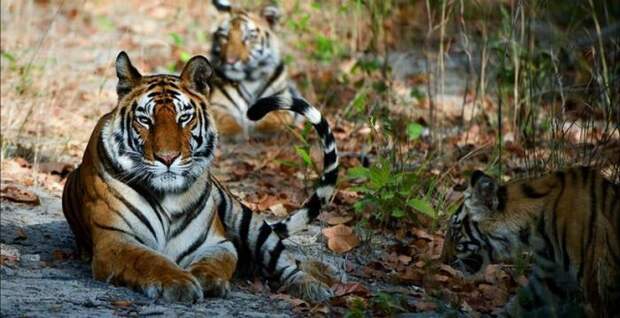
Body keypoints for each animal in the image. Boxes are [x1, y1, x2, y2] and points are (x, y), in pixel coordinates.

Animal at [62, 51, 340, 304]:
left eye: (184, 118)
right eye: (145, 120)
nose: (167, 158)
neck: (168, 197)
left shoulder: (217, 243)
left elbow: (214, 263)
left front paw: (207, 280)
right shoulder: (115, 240)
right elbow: (150, 260)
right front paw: (179, 283)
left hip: (247, 220)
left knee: (288, 261)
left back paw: (317, 283)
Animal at [207, 0, 302, 139]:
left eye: (247, 37)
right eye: (225, 36)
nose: (230, 61)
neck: (251, 78)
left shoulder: (282, 101)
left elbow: (274, 118)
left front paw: (262, 130)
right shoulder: (217, 105)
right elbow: (225, 120)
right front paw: (236, 133)